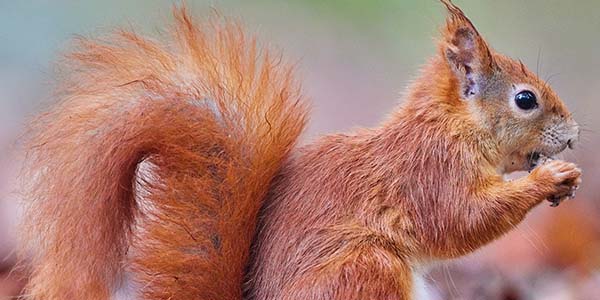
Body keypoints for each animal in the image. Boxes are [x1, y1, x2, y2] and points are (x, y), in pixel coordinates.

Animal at [18, 0, 580, 300]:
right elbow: (460, 220)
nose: (574, 134)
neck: (449, 128)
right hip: (367, 269)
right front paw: (549, 179)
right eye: (525, 100)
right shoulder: (428, 172)